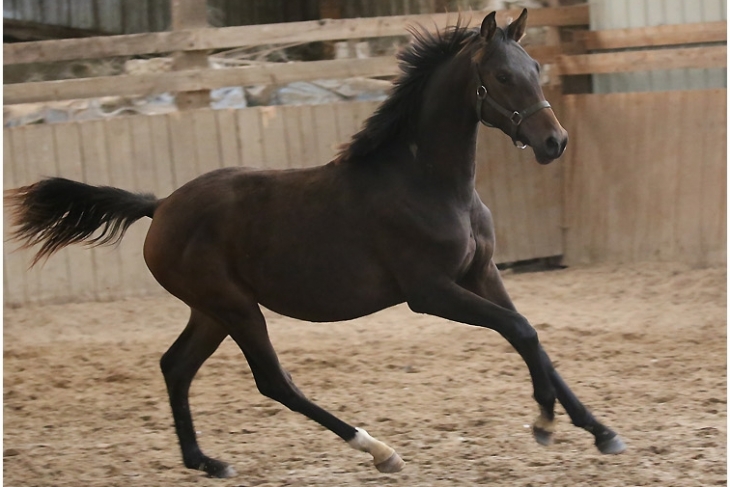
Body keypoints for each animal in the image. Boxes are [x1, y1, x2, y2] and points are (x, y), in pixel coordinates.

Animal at [5, 10, 624, 480]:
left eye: (536, 68)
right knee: (273, 381)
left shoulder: (482, 275)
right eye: (500, 76)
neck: (427, 183)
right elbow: (520, 331)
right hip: (235, 306)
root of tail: (160, 207)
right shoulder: (431, 292)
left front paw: (601, 432)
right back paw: (379, 450)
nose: (555, 142)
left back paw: (206, 462)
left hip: (211, 310)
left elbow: (533, 337)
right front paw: (543, 423)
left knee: (175, 366)